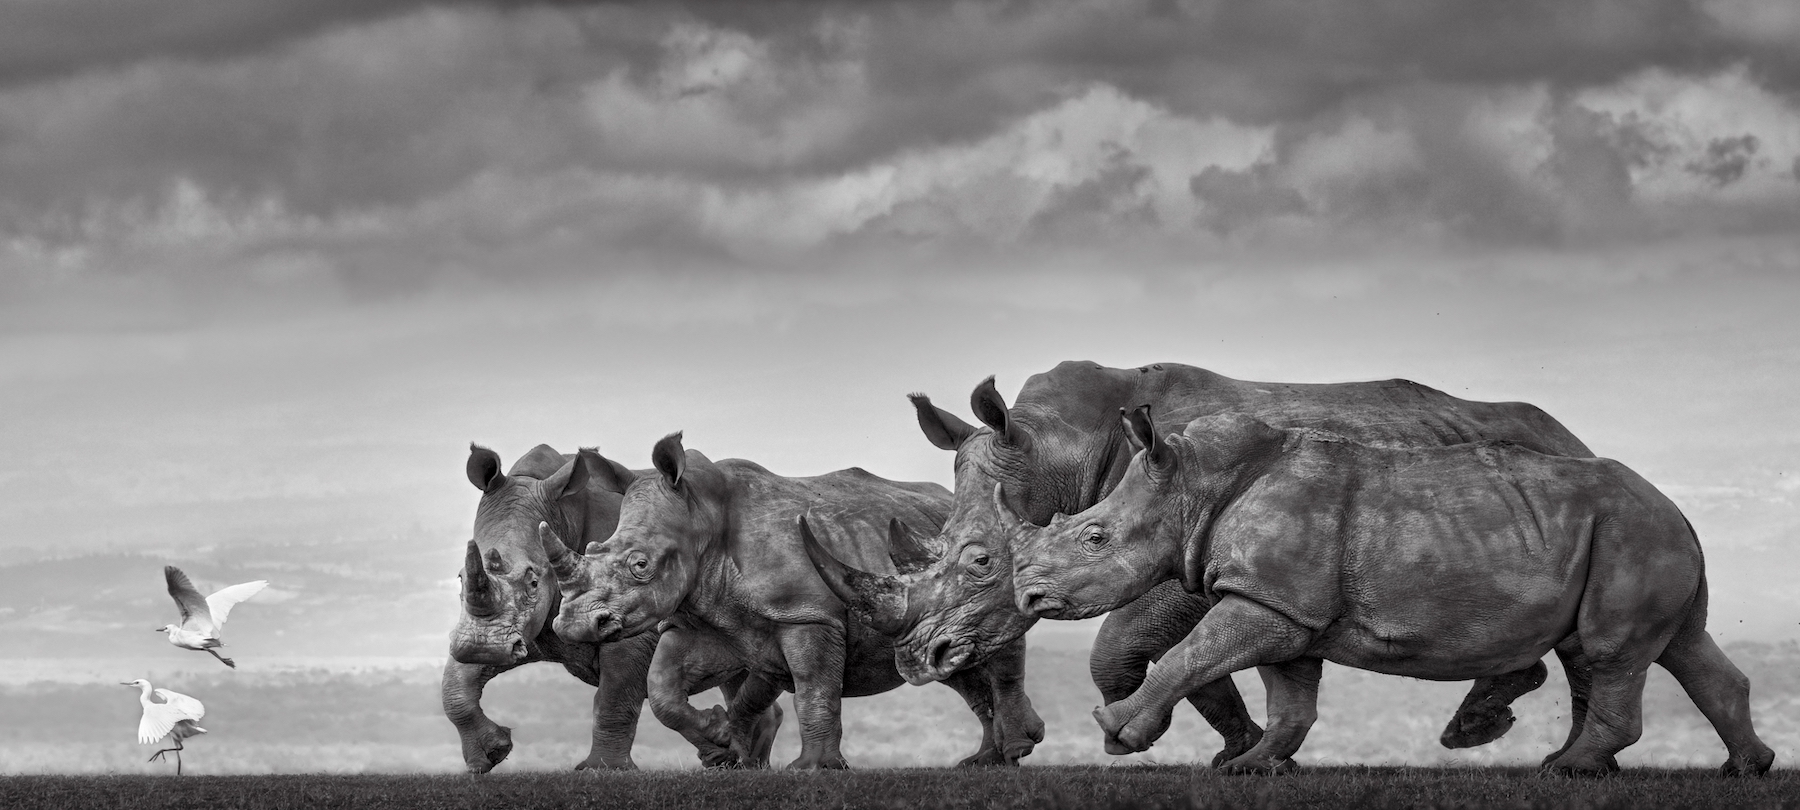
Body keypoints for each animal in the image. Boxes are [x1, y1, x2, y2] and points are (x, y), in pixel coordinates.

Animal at [445, 444, 780, 772]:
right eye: (460, 578)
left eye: (533, 582)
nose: (482, 648)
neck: (562, 516)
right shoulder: (518, 629)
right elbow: (454, 682)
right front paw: (490, 754)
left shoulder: (633, 618)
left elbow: (614, 695)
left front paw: (603, 770)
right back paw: (738, 764)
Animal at [541, 432, 1045, 769]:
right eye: (593, 548)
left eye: (640, 565)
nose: (574, 625)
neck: (701, 516)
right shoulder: (698, 619)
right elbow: (663, 686)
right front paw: (721, 741)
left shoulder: (809, 616)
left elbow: (813, 687)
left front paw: (814, 770)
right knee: (953, 662)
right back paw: (985, 761)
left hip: (982, 570)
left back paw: (1012, 751)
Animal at [823, 361, 1597, 764]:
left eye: (983, 561)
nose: (921, 657)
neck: (1058, 450)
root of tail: (1575, 437)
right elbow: (1188, 652)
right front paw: (1242, 749)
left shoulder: (1186, 543)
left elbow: (1126, 641)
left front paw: (1149, 738)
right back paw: (1481, 726)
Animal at [1008, 407, 1775, 776]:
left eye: (1096, 537)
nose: (1030, 600)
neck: (1193, 485)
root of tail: (1679, 509)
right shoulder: (1283, 604)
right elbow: (1290, 696)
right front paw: (1253, 768)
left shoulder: (1270, 601)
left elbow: (1187, 656)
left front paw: (1116, 736)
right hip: (1637, 534)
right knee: (1679, 647)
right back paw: (1744, 768)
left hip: (1632, 534)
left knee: (1612, 651)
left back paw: (1568, 770)